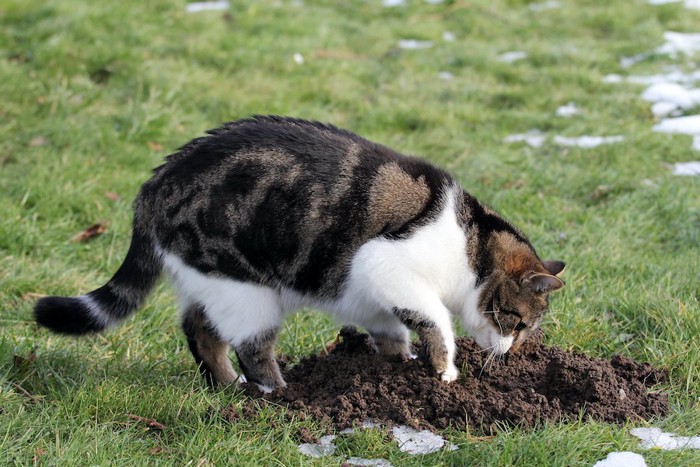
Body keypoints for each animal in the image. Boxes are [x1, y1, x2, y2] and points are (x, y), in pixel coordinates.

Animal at [35, 116, 568, 392]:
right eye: (519, 322)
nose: (509, 351)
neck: (470, 244)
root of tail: (153, 185)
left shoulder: (370, 294)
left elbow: (393, 330)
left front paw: (393, 368)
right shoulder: (387, 266)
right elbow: (435, 320)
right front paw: (444, 370)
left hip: (209, 280)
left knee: (199, 333)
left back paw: (228, 389)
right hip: (246, 289)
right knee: (251, 347)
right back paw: (281, 396)